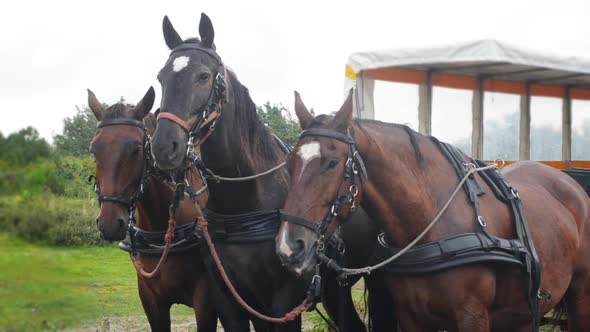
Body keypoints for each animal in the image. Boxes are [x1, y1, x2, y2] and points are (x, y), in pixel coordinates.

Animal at [149, 13, 394, 332]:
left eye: (203, 76)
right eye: (161, 78)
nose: (164, 146)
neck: (241, 205)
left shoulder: (283, 305)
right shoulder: (232, 302)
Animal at [280, 89, 590, 330]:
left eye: (332, 163)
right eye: (289, 163)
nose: (289, 247)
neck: (431, 225)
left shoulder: (472, 316)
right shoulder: (410, 317)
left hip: (578, 295)